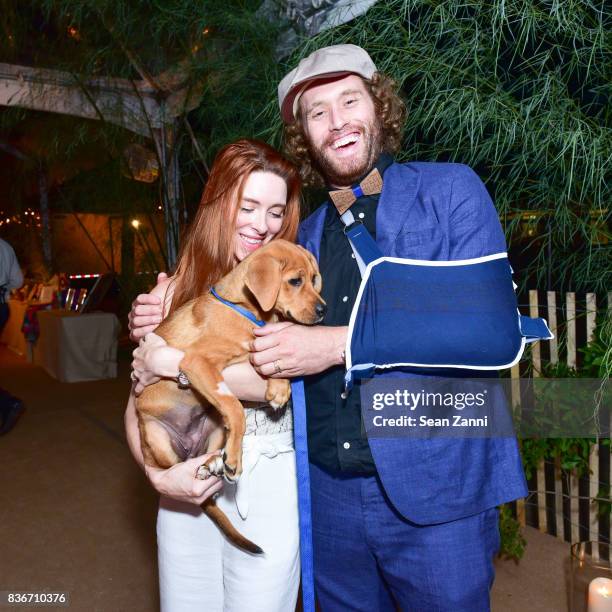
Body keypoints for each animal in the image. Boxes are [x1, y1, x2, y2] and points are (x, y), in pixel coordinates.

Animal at [135, 240, 326, 556]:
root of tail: (188, 447)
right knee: (176, 467)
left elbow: (273, 359)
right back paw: (219, 464)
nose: (324, 310)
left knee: (207, 454)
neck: (245, 310)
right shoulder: (197, 362)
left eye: (313, 279)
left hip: (213, 430)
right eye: (295, 281)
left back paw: (214, 464)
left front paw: (279, 389)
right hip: (157, 438)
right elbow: (234, 407)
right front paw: (235, 459)